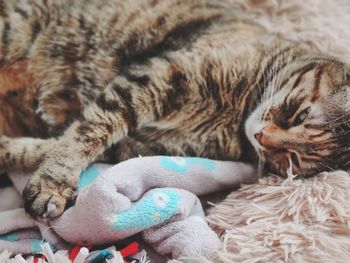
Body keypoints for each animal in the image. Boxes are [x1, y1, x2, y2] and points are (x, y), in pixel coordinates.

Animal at [0, 0, 348, 220]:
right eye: (299, 114)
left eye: (292, 160)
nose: (262, 138)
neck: (236, 114)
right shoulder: (159, 76)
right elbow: (86, 134)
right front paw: (53, 184)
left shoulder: (140, 146)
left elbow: (50, 145)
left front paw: (15, 154)